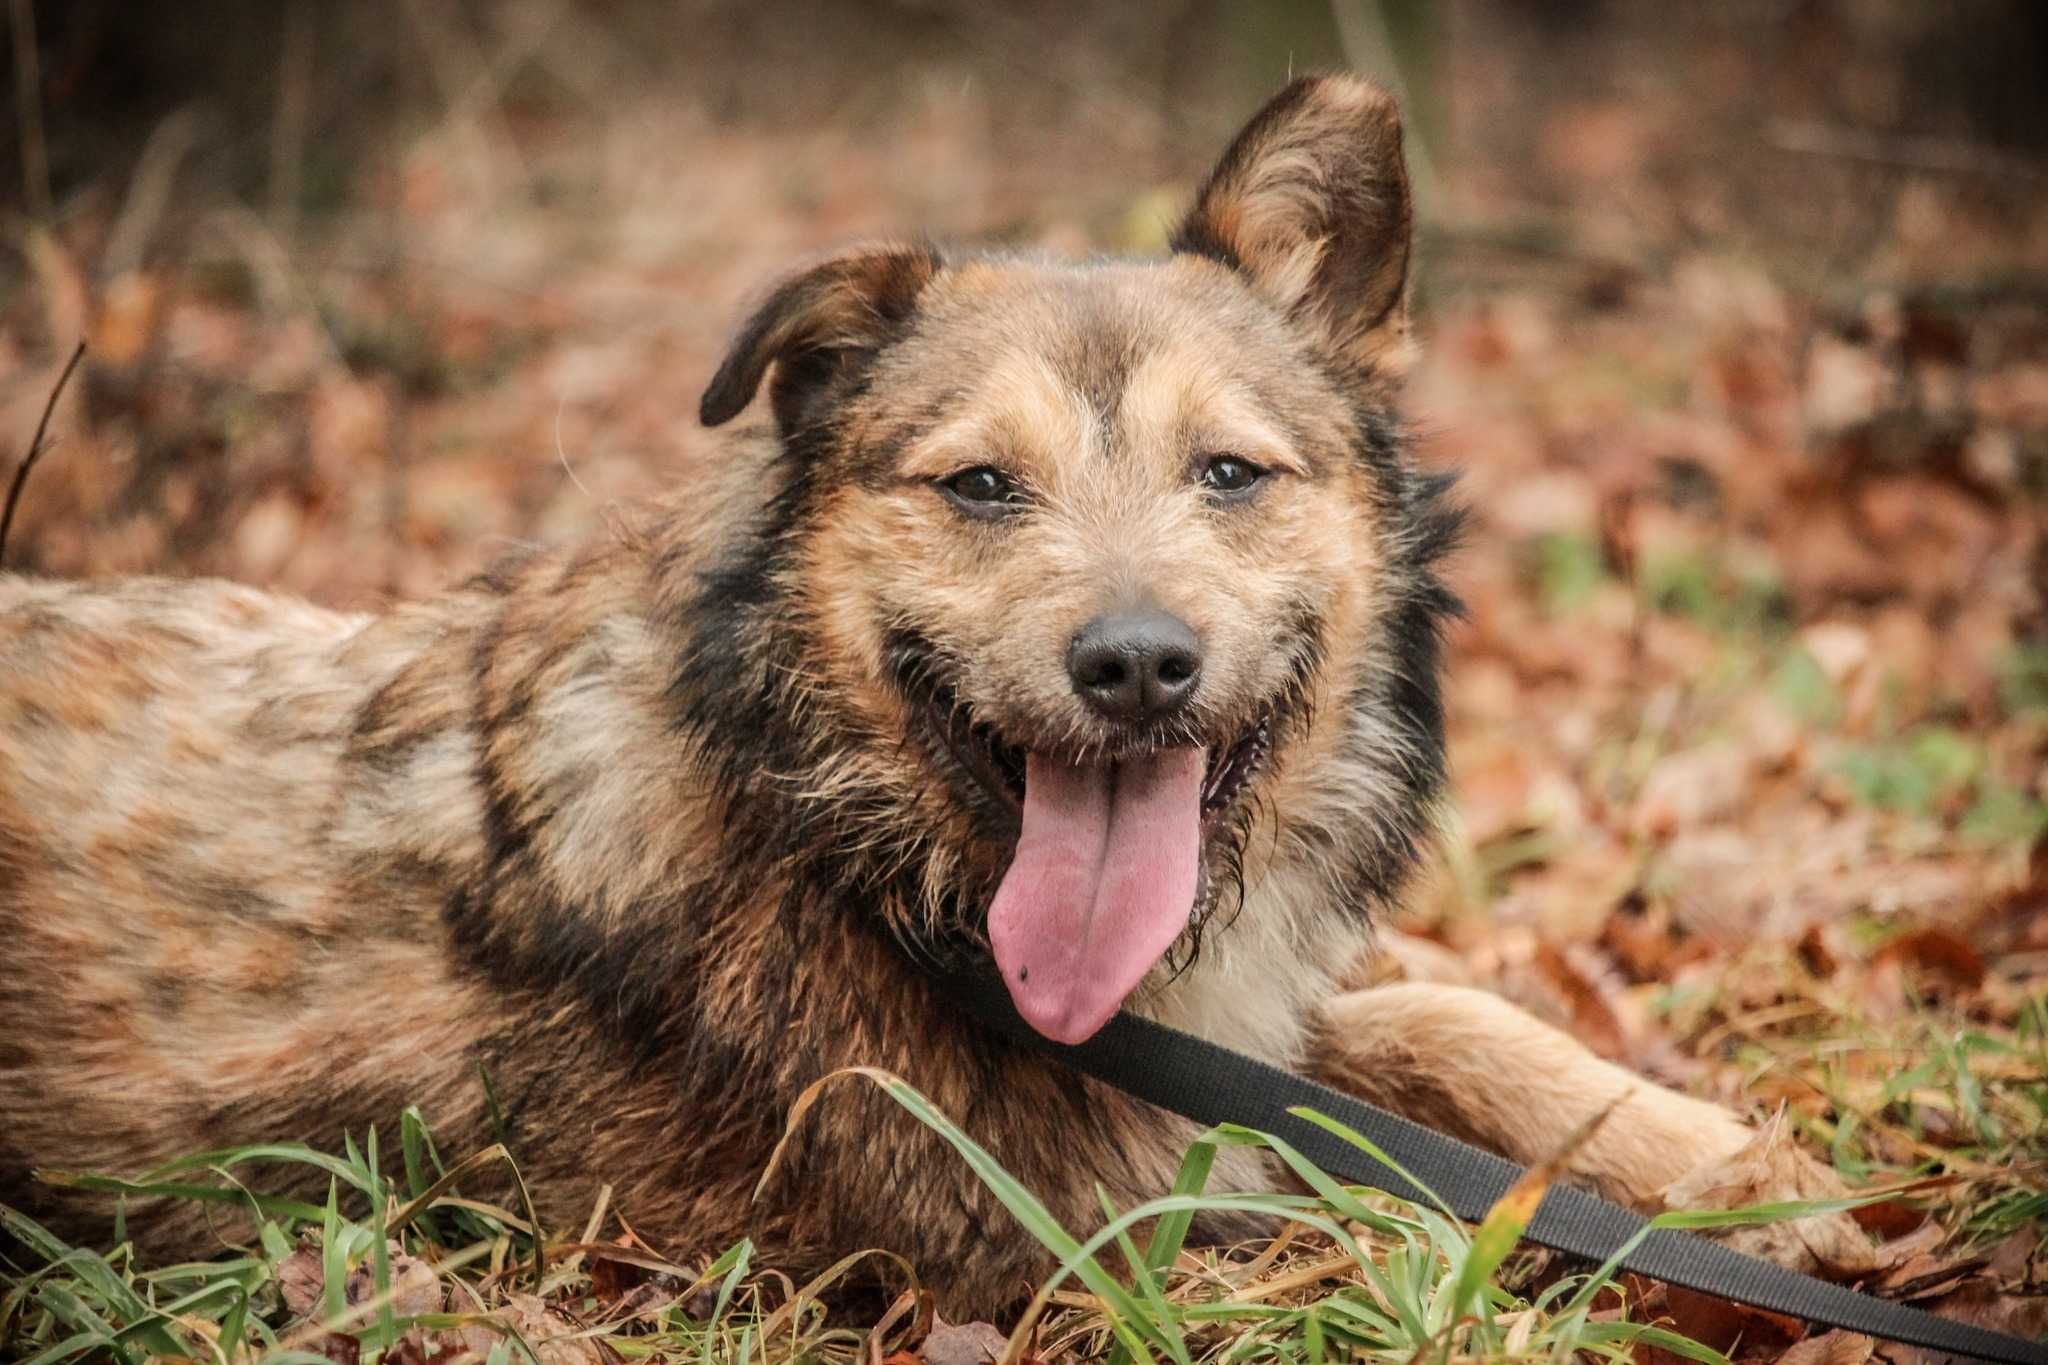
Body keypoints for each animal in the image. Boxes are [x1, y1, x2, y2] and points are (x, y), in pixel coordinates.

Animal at [0, 74, 1761, 1309]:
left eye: (1229, 472)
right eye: (979, 484)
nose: (1135, 664)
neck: (836, 835)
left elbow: (1438, 1018)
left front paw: (1732, 1155)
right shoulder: (1076, 1226)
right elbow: (1373, 1189)